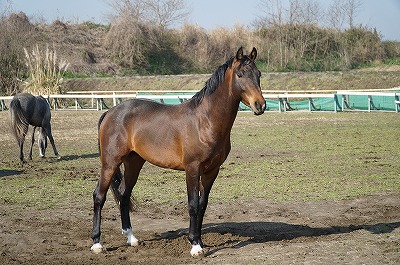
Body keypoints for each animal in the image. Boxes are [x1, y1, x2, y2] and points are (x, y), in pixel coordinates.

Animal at [90, 47, 266, 256]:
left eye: (258, 74)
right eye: (240, 74)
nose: (260, 105)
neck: (204, 121)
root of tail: (111, 112)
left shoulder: (211, 171)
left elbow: (202, 205)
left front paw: (200, 241)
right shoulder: (192, 168)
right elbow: (193, 204)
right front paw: (195, 245)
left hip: (134, 162)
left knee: (124, 195)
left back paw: (131, 238)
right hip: (110, 162)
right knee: (99, 196)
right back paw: (97, 243)